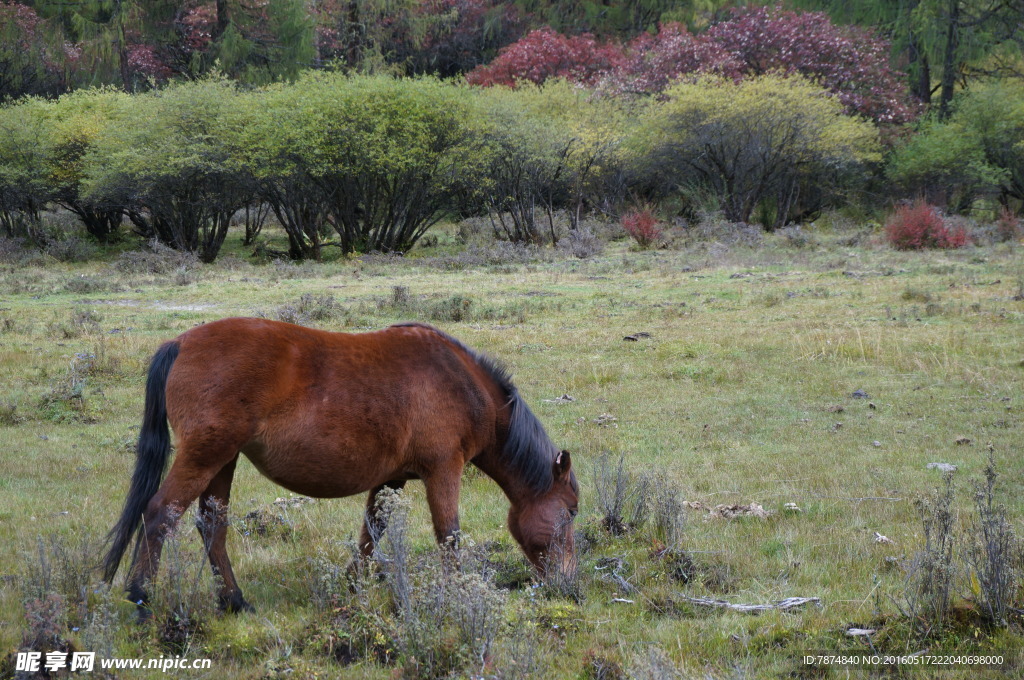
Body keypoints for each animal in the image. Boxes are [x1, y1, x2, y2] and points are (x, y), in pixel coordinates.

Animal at [105, 317, 585, 610]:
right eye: (571, 512)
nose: (569, 588)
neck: (462, 384)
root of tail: (181, 343)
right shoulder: (443, 470)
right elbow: (448, 537)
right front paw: (455, 598)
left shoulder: (393, 480)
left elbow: (371, 534)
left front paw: (352, 588)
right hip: (205, 456)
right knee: (160, 514)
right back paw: (140, 597)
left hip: (222, 462)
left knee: (212, 526)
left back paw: (234, 602)